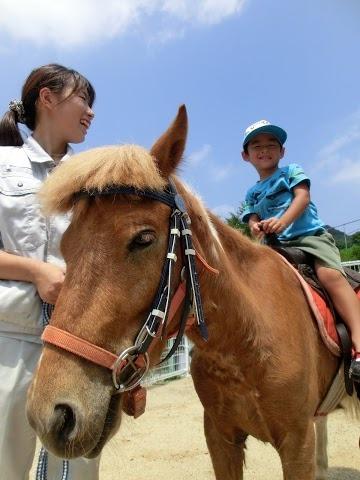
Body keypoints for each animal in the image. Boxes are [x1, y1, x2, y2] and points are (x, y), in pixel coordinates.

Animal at [26, 107, 358, 478]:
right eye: (66, 246)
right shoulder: (220, 437)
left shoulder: (297, 441)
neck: (243, 338)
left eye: (143, 239)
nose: (52, 416)